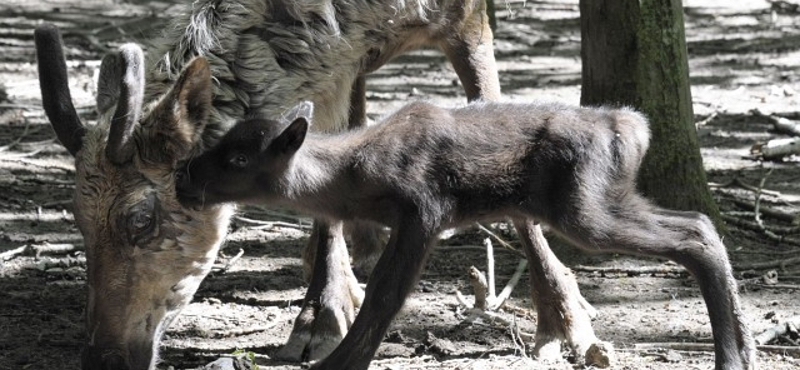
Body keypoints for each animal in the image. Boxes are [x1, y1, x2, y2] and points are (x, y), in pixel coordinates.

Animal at [177, 100, 756, 370]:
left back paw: (733, 354)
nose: (184, 175)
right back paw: (744, 348)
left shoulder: (424, 212)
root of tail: (635, 128)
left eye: (239, 158)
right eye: (221, 141)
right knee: (700, 222)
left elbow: (385, 296)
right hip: (602, 201)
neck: (357, 182)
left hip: (584, 210)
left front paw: (339, 362)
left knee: (696, 235)